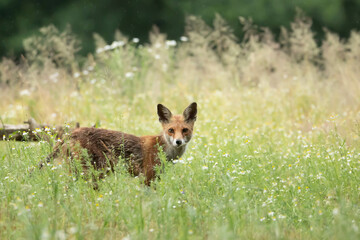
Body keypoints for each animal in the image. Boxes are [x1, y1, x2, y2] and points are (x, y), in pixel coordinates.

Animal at [45, 102, 197, 185]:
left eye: (184, 130)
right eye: (171, 130)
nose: (178, 142)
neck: (162, 149)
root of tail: (73, 132)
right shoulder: (147, 178)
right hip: (94, 173)